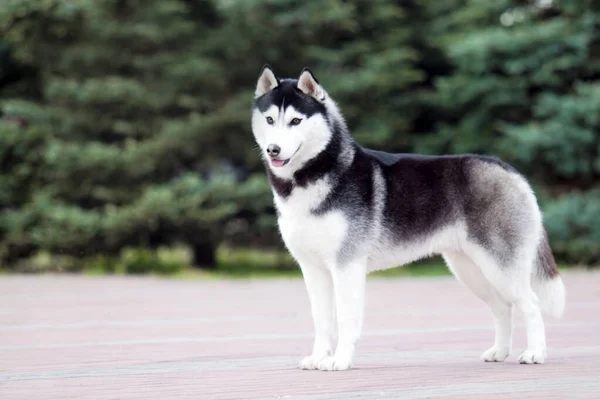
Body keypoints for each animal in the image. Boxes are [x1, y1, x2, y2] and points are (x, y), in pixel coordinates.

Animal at [251, 66, 564, 372]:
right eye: (270, 119)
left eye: (295, 121)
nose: (273, 149)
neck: (314, 175)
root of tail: (511, 170)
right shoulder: (312, 268)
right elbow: (322, 320)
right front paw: (318, 357)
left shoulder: (346, 265)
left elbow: (346, 319)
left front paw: (339, 360)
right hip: (471, 269)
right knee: (502, 306)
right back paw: (499, 352)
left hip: (500, 266)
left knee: (531, 304)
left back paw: (535, 353)